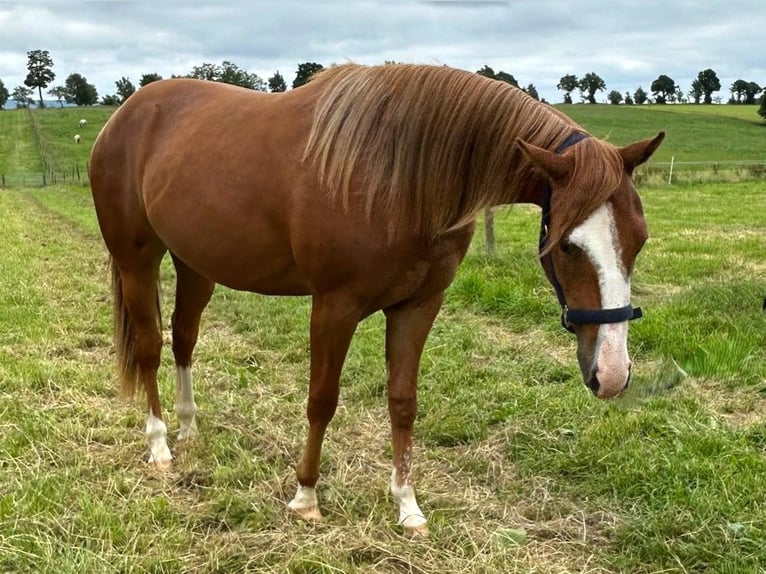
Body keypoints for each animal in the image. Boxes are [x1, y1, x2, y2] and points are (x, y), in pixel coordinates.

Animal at [89, 63, 664, 536]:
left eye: (640, 238)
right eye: (567, 244)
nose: (613, 374)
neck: (402, 175)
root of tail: (125, 115)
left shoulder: (419, 306)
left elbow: (403, 402)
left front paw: (407, 506)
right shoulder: (334, 306)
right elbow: (322, 400)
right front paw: (306, 497)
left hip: (196, 265)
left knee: (184, 338)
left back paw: (188, 427)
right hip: (137, 260)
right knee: (150, 348)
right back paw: (160, 444)